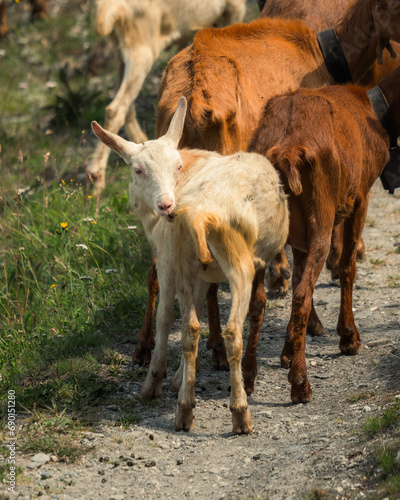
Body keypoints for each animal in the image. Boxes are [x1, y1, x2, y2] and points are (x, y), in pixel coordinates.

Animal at [87, 0, 247, 189]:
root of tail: (109, 9)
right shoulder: (234, 9)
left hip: (120, 53)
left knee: (125, 105)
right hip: (141, 51)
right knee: (115, 108)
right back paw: (96, 175)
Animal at [92, 98, 290, 434]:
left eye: (177, 167)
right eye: (138, 169)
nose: (166, 205)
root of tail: (200, 213)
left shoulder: (167, 258)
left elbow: (163, 316)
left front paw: (157, 379)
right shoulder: (197, 270)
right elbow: (193, 312)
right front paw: (179, 379)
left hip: (232, 262)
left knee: (229, 330)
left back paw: (238, 413)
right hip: (218, 262)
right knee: (198, 327)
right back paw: (189, 409)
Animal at [248, 65, 398, 402]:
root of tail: (286, 149)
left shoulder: (298, 233)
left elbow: (299, 271)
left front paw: (287, 352)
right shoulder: (359, 199)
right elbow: (347, 266)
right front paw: (349, 338)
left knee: (259, 296)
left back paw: (247, 379)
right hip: (323, 214)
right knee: (302, 292)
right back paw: (301, 385)